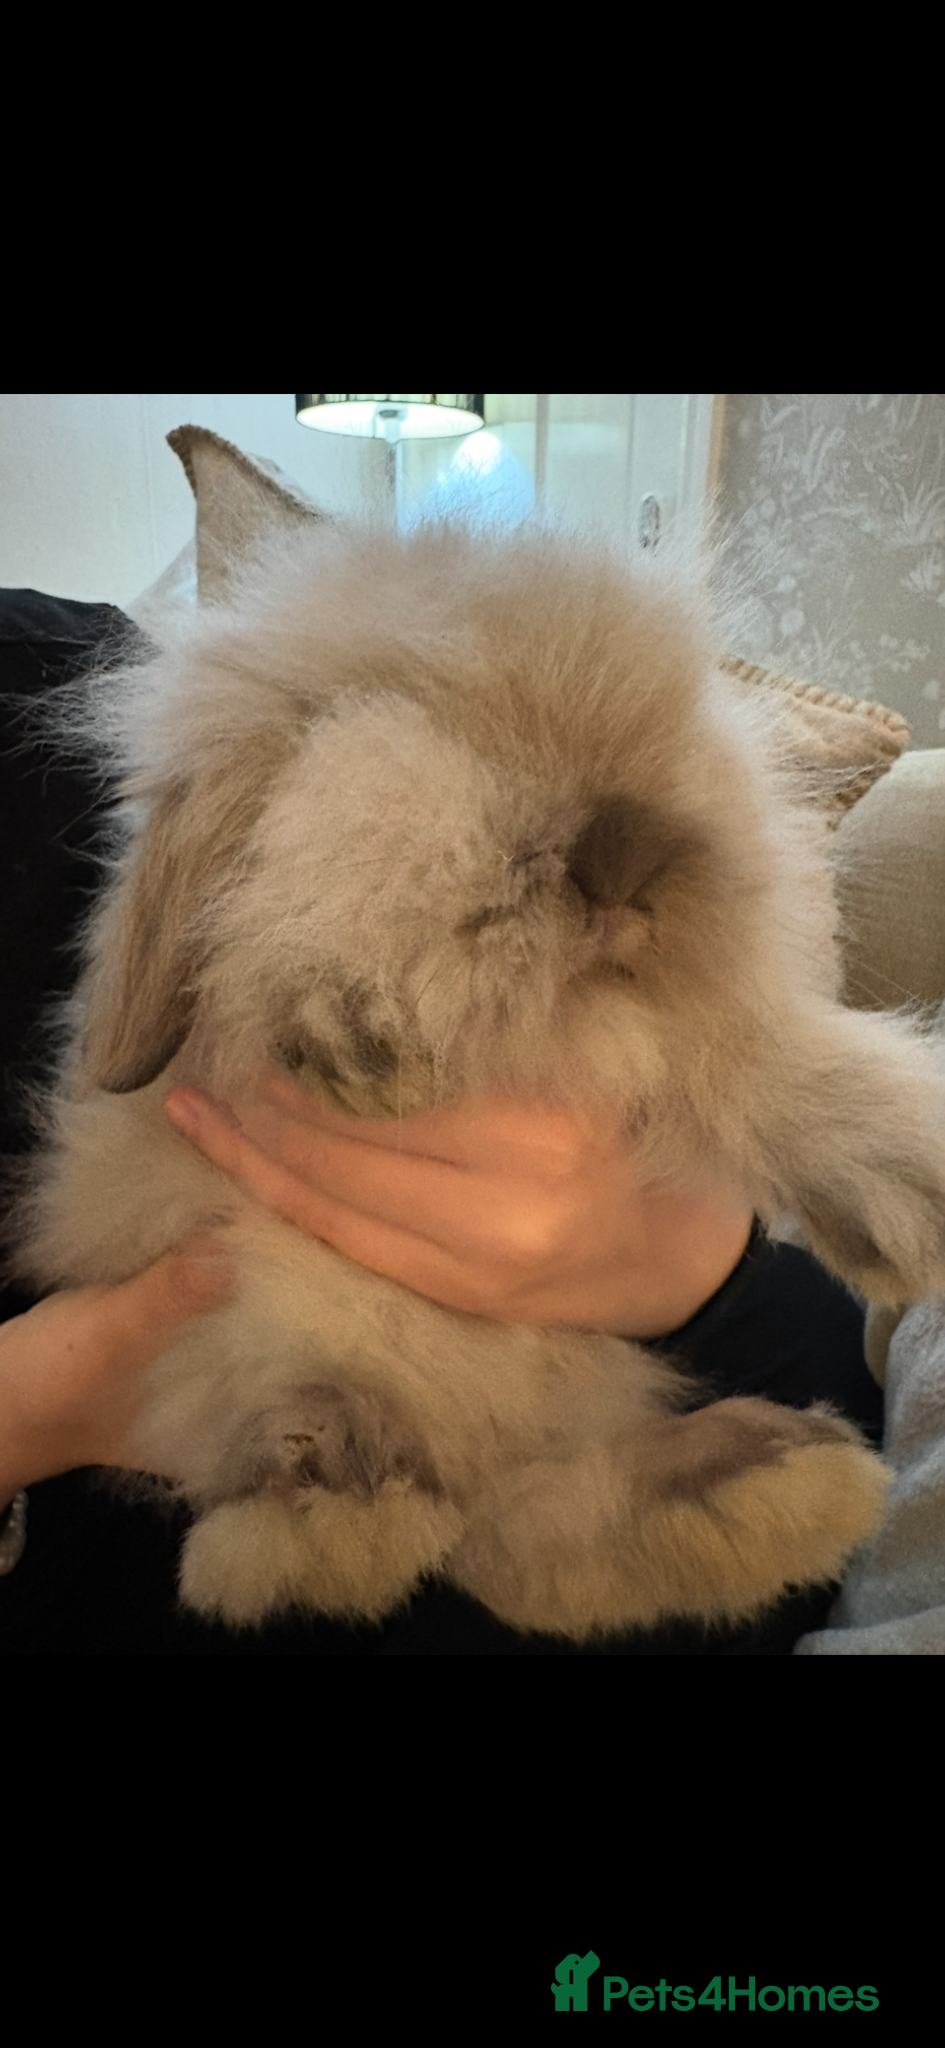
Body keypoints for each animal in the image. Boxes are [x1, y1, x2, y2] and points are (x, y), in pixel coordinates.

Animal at [8, 514, 944, 1640]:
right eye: (420, 713)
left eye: (683, 717)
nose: (629, 853)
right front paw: (356, 1025)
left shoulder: (687, 1041)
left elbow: (752, 1054)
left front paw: (914, 1191)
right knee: (377, 1508)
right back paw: (336, 1497)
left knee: (518, 1532)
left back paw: (762, 1487)